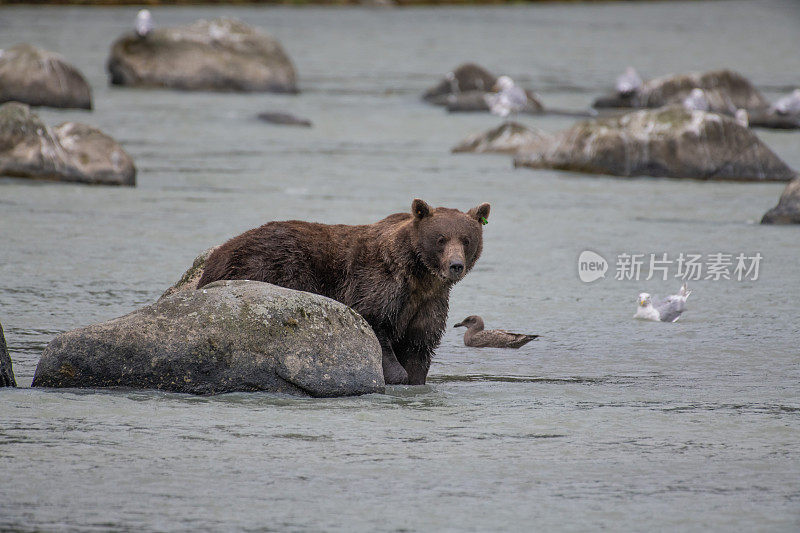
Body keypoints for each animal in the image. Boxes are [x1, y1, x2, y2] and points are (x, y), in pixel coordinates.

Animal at [197, 197, 490, 384]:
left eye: (466, 239)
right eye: (441, 239)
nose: (455, 265)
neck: (418, 276)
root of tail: (217, 256)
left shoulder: (429, 303)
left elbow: (419, 346)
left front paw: (415, 377)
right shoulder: (377, 285)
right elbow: (375, 326)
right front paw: (395, 376)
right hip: (266, 266)